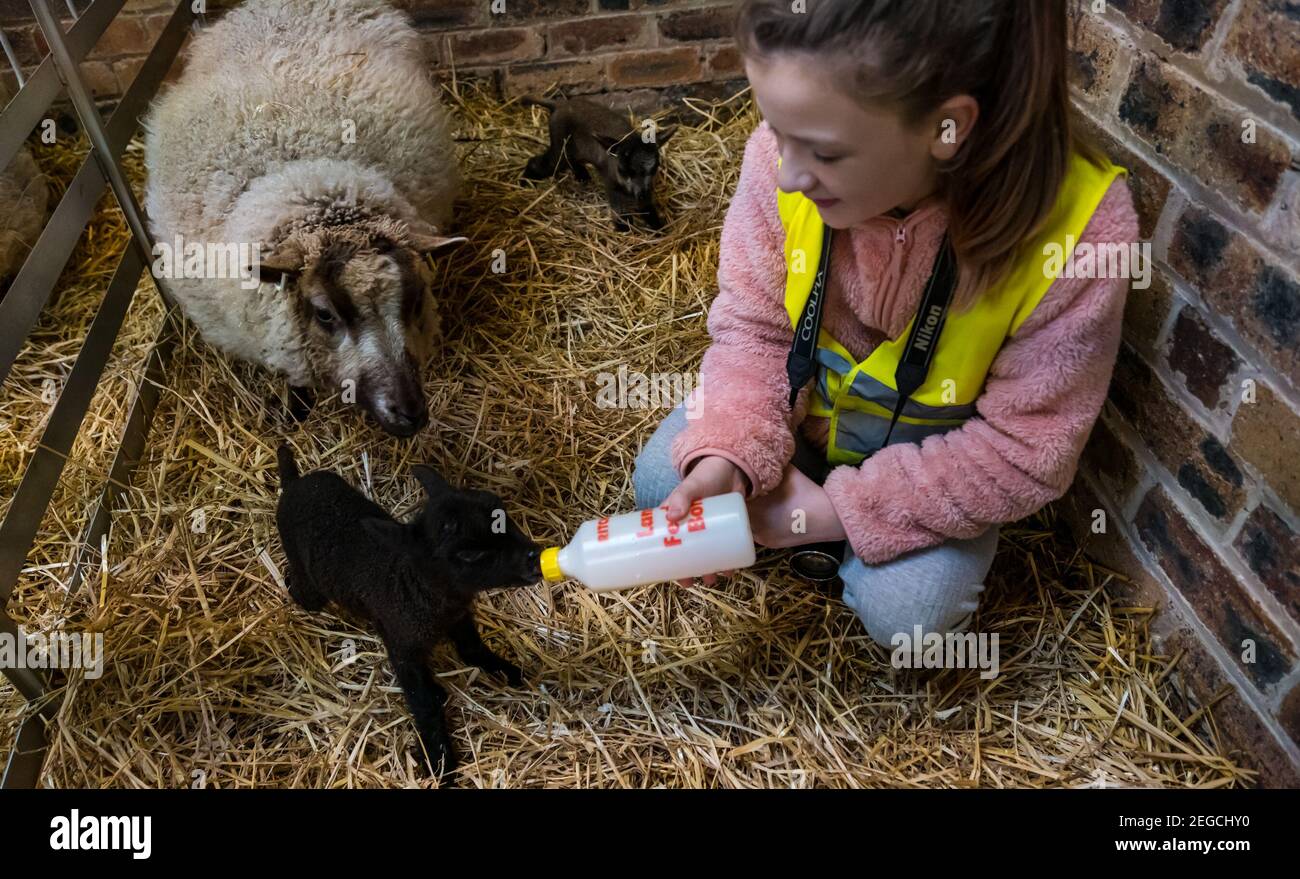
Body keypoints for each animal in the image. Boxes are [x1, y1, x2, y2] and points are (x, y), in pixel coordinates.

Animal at [275, 444, 540, 778]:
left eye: (500, 512)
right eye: (470, 553)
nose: (535, 558)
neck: (413, 585)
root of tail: (294, 482)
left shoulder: (460, 618)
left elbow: (472, 649)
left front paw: (508, 671)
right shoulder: (403, 649)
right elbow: (423, 703)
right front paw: (441, 762)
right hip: (307, 578)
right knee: (300, 590)